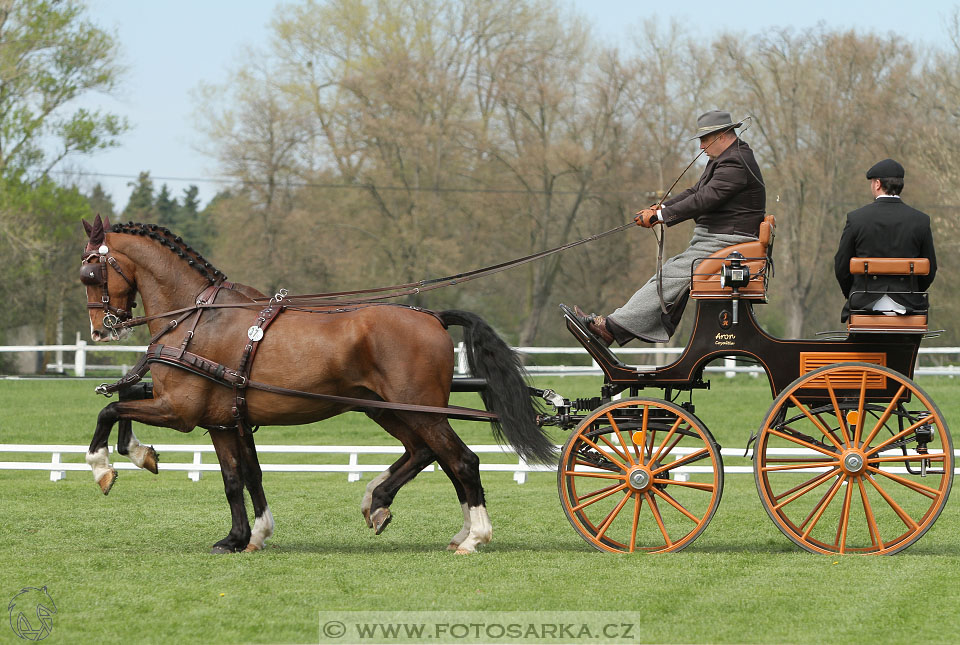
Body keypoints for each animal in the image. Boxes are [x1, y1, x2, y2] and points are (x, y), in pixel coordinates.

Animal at [80, 216, 556, 552]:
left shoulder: (180, 411)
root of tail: (432, 316)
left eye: (90, 274)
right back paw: (385, 504)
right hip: (389, 409)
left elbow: (109, 410)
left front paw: (107, 466)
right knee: (427, 453)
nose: (101, 331)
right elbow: (238, 477)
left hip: (420, 410)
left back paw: (473, 536)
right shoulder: (221, 420)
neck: (196, 319)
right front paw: (242, 537)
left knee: (461, 461)